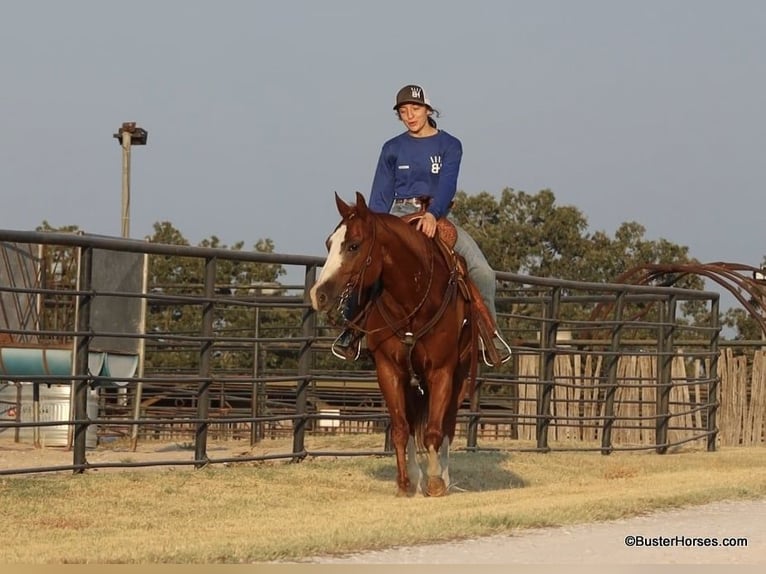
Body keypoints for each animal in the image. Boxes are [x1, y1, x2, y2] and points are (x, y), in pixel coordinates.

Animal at [309, 192, 479, 497]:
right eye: (329, 243)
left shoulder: (442, 371)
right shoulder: (388, 369)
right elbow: (401, 428)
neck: (413, 300)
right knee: (411, 424)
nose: (319, 294)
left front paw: (435, 481)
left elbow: (435, 429)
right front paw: (405, 483)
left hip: (459, 376)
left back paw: (443, 475)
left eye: (353, 245)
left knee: (447, 424)